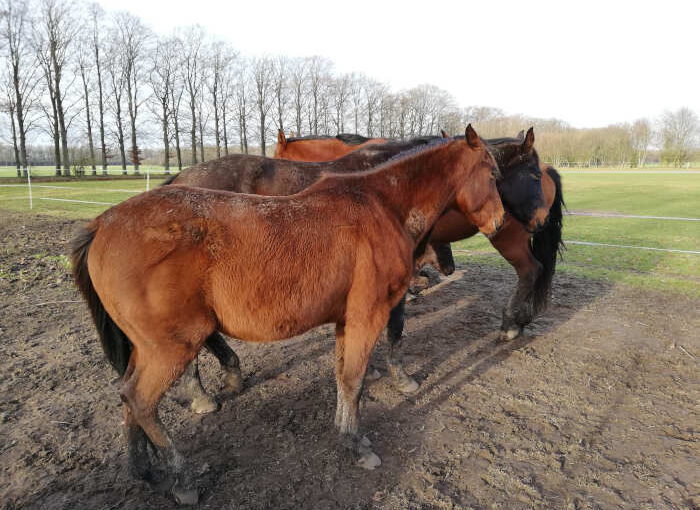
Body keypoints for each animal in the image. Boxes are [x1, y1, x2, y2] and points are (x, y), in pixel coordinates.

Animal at [72, 126, 504, 502]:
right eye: (493, 174)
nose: (499, 222)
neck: (381, 206)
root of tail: (103, 223)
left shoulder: (347, 321)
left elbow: (345, 378)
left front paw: (348, 432)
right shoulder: (368, 316)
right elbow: (354, 378)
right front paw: (355, 443)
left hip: (146, 348)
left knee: (127, 395)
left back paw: (142, 469)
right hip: (170, 348)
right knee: (141, 400)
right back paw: (183, 477)